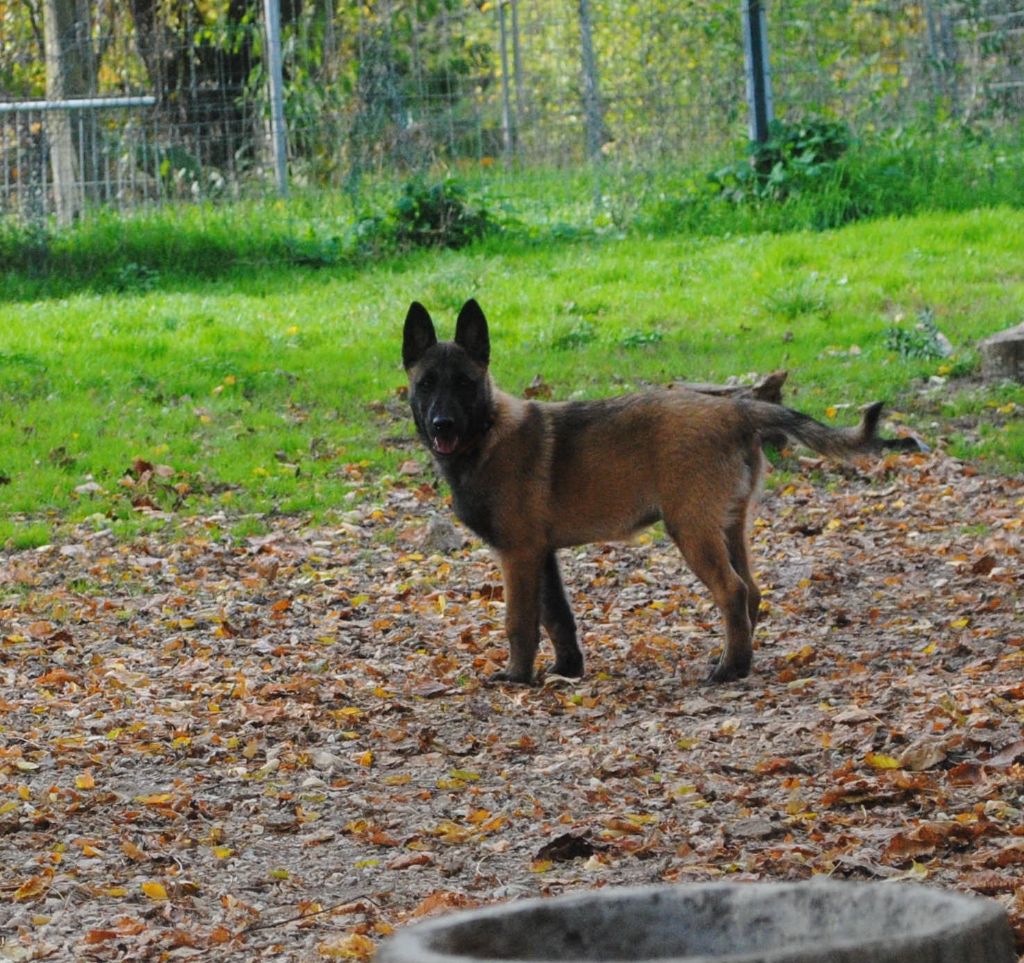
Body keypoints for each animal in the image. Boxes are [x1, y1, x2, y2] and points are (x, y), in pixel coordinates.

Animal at [403, 301, 925, 684]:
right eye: (426, 384)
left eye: (465, 384)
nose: (442, 425)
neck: (485, 433)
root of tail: (736, 411)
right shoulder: (541, 554)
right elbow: (557, 617)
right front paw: (567, 670)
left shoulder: (518, 554)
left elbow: (519, 622)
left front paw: (516, 677)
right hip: (728, 526)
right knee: (752, 592)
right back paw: (742, 659)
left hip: (691, 529)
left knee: (733, 591)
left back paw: (729, 670)